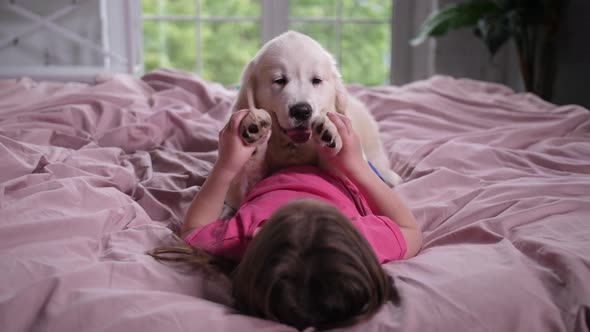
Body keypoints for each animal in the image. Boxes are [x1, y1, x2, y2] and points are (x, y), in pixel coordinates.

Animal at [225, 31, 402, 210]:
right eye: (279, 80)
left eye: (316, 80)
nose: (302, 111)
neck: (294, 147)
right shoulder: (237, 193)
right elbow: (246, 178)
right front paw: (254, 126)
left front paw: (330, 130)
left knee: (378, 164)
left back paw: (390, 177)